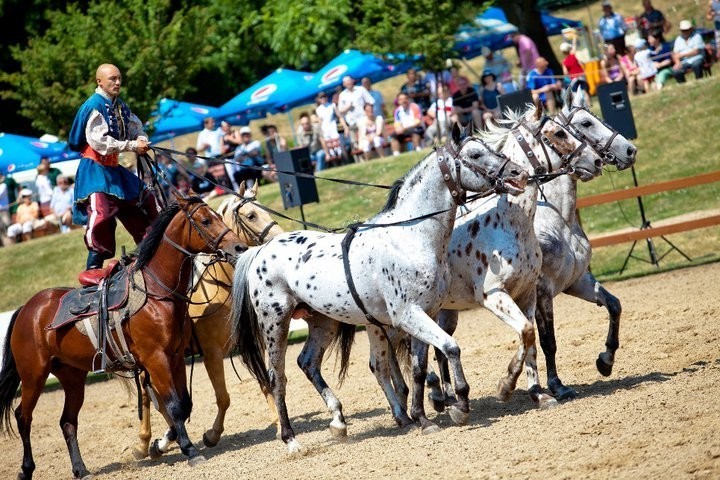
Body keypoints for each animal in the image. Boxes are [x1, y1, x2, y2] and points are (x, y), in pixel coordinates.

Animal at [0, 196, 262, 480]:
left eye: (218, 216)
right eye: (205, 220)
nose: (239, 247)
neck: (157, 293)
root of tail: (27, 309)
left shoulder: (175, 357)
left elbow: (184, 403)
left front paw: (166, 443)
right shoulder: (157, 359)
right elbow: (173, 405)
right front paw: (190, 450)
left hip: (72, 377)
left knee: (67, 422)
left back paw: (81, 469)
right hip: (33, 375)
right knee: (23, 417)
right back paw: (26, 469)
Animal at [135, 183, 284, 458]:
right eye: (251, 215)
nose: (279, 238)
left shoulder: (253, 344)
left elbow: (266, 383)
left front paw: (280, 424)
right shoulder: (212, 354)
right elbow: (223, 397)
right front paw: (212, 435)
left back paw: (163, 440)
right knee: (150, 394)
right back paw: (146, 443)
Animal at [231, 123, 528, 450]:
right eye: (475, 154)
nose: (518, 173)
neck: (411, 237)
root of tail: (260, 250)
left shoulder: (423, 315)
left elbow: (419, 370)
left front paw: (422, 419)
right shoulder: (408, 316)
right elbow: (450, 347)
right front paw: (459, 406)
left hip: (324, 321)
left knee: (307, 363)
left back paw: (339, 422)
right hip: (276, 323)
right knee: (277, 377)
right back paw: (291, 440)